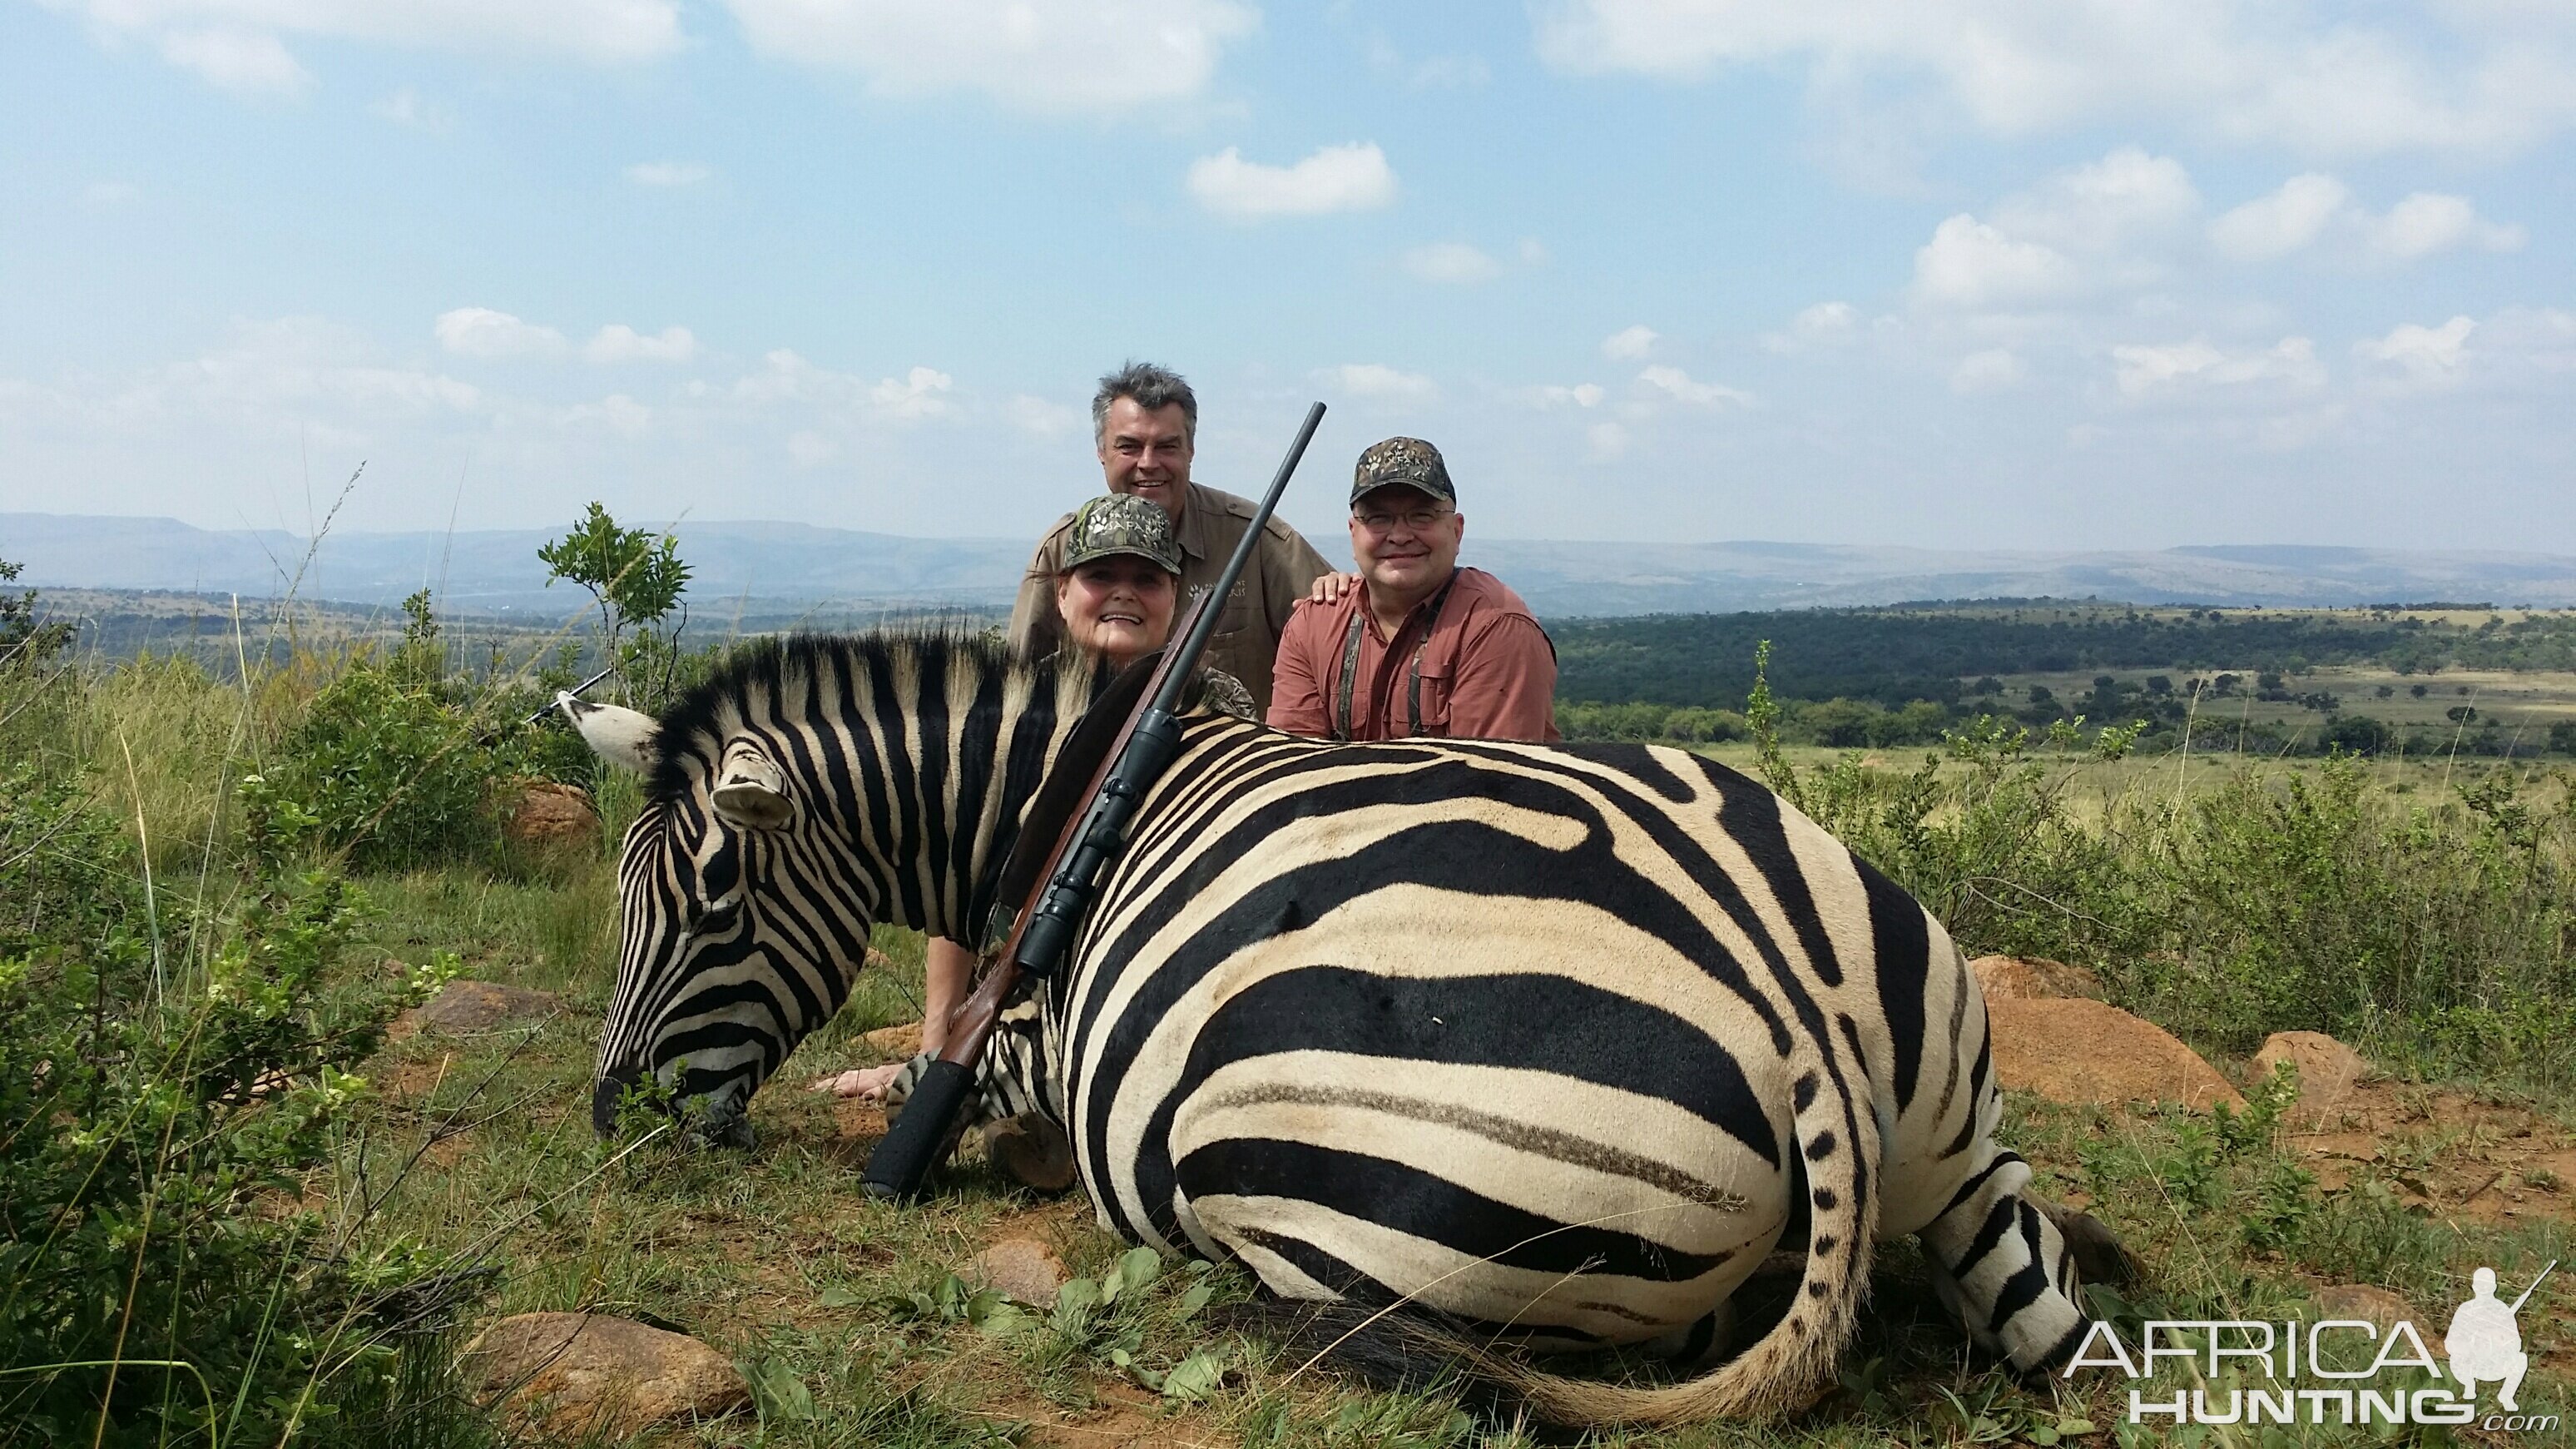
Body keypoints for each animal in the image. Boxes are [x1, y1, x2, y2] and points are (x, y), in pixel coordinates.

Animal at [574, 631, 2102, 1423]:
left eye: (712, 901)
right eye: (621, 895)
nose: (612, 1118)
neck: (1069, 801)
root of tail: (1800, 1020)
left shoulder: (1040, 1041)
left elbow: (952, 1067)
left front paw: (873, 1095)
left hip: (1313, 1188)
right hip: (1963, 1147)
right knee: (2051, 1326)